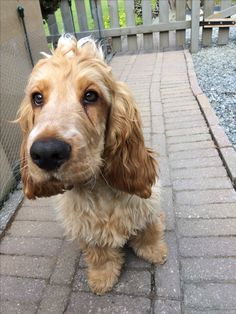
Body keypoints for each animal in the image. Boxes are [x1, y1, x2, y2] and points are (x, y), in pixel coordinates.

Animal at [17, 34, 167, 294]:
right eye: (37, 98)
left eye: (91, 95)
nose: (46, 153)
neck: (99, 188)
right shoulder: (85, 228)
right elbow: (99, 254)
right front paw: (102, 278)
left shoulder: (147, 205)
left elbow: (150, 230)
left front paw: (155, 251)